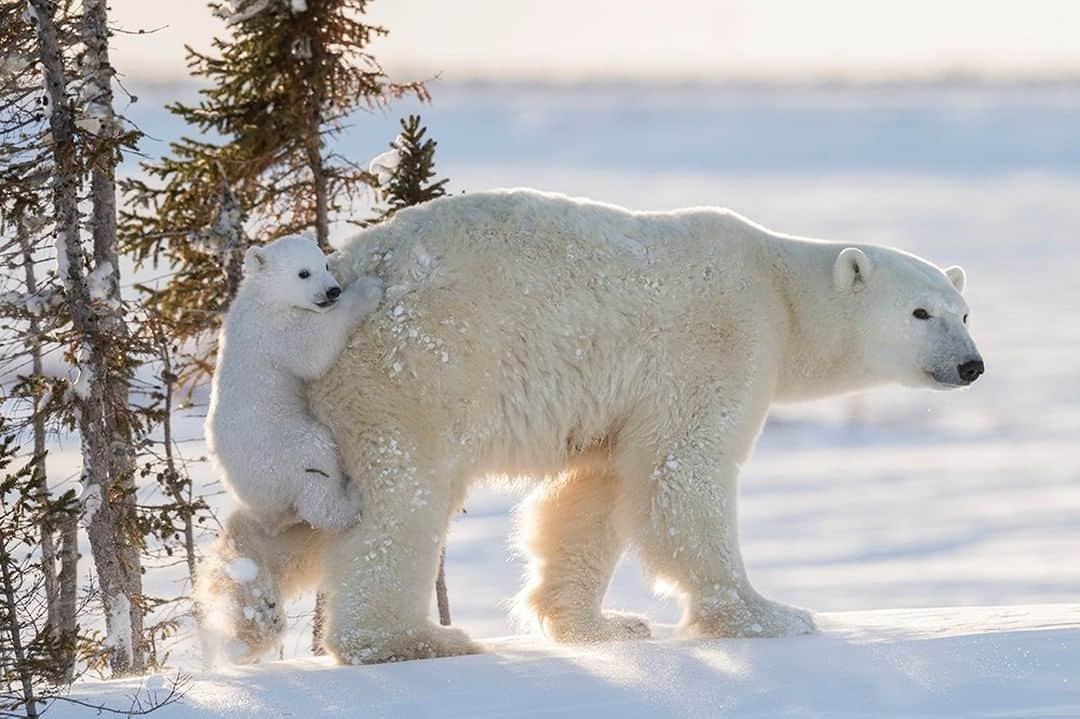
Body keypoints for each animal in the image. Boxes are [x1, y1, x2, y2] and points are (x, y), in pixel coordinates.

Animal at [205, 235, 384, 531]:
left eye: (324, 264)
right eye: (303, 273)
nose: (333, 291)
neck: (263, 298)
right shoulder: (275, 332)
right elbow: (313, 350)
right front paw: (368, 288)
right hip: (283, 449)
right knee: (315, 464)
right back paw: (351, 499)